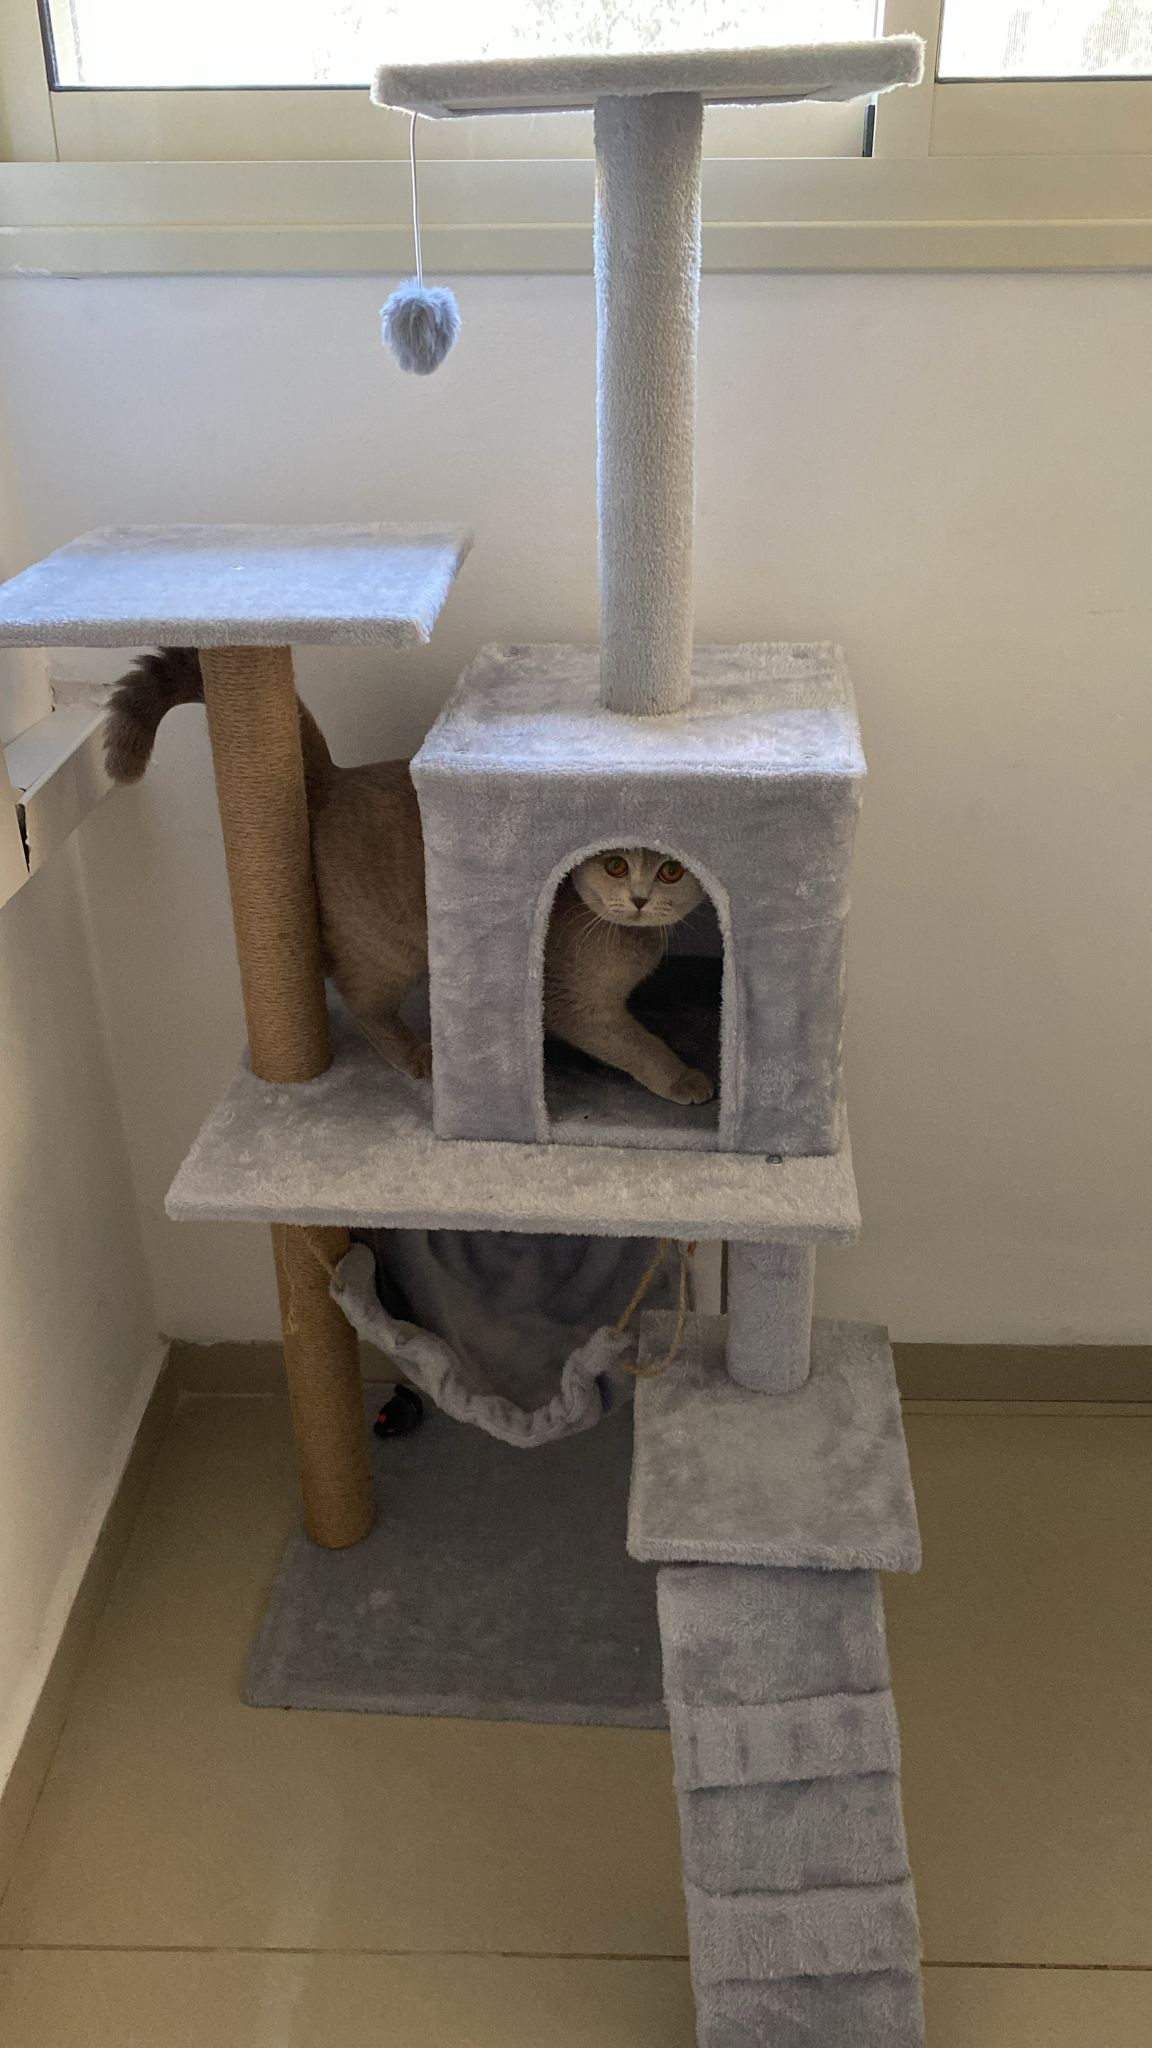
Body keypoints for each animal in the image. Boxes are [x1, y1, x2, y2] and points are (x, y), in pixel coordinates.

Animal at [103, 650, 714, 1106]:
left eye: (670, 869)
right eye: (615, 865)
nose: (639, 898)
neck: (626, 945)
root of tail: (334, 779)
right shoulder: (576, 1003)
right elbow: (637, 1045)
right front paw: (686, 1078)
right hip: (389, 948)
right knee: (361, 1001)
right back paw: (418, 1053)